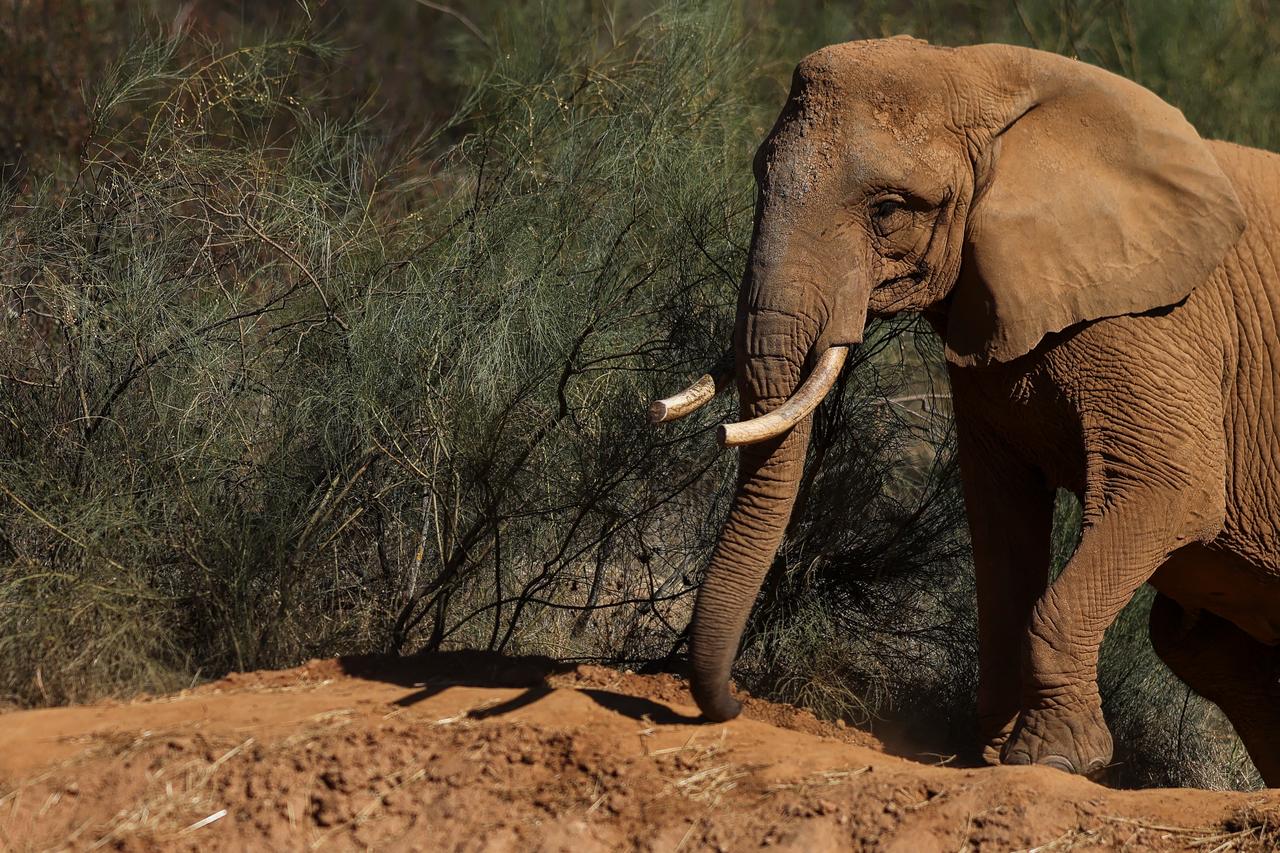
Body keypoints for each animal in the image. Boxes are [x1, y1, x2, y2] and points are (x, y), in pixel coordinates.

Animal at [650, 36, 1280, 783]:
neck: (986, 77)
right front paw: (991, 752)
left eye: (889, 211)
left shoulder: (1154, 320)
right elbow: (1000, 520)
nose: (732, 705)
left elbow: (1175, 488)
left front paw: (1054, 760)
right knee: (1203, 649)